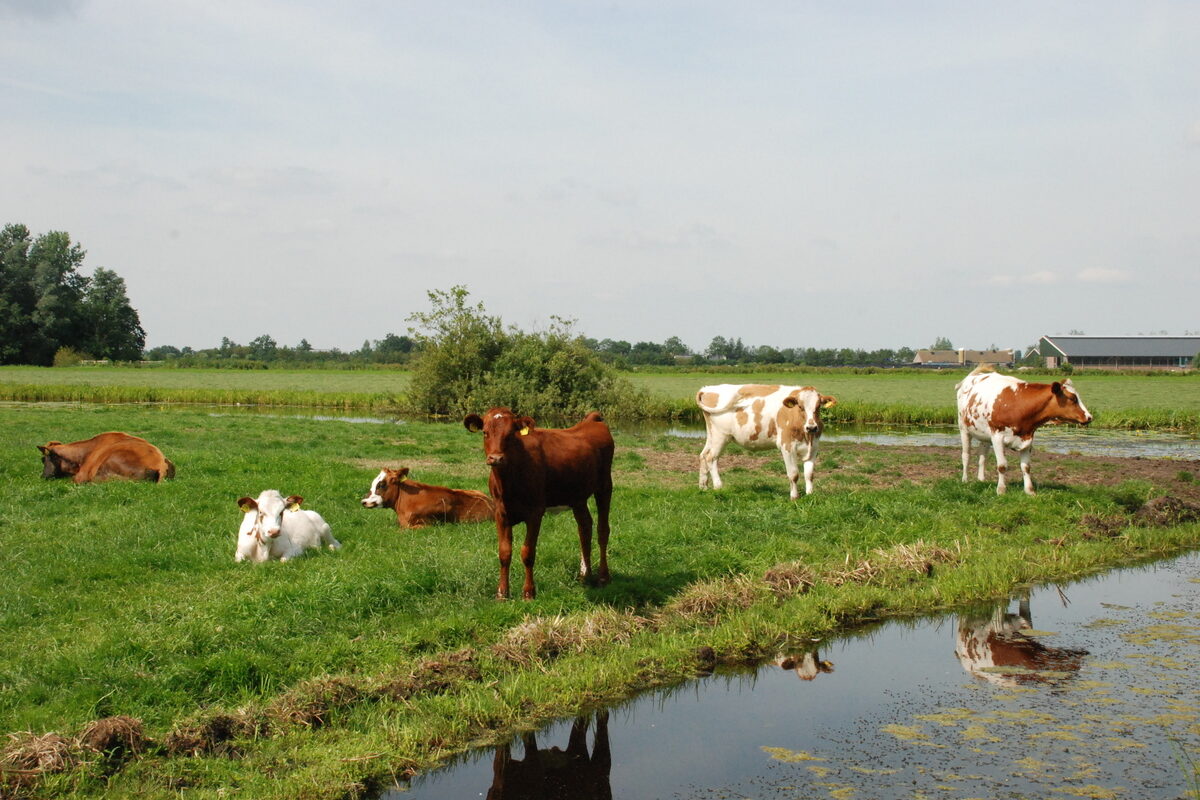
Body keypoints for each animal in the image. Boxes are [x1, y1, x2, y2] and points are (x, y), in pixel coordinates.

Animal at [458, 410, 609, 597]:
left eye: (511, 434)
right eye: (485, 432)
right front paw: (502, 593)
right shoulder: (500, 513)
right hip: (577, 496)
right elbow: (504, 552)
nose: (496, 458)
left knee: (603, 530)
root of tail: (592, 420)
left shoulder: (535, 512)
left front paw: (529, 592)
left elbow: (528, 552)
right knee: (585, 528)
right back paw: (585, 575)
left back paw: (603, 577)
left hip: (604, 486)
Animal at [700, 383, 840, 501]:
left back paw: (703, 487)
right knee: (711, 458)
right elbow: (793, 474)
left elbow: (809, 474)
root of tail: (706, 389)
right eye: (800, 406)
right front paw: (794, 497)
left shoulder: (814, 447)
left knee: (703, 455)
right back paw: (718, 486)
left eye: (818, 406)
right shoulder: (787, 446)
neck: (806, 436)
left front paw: (810, 494)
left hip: (712, 435)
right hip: (720, 436)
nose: (811, 427)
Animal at [960, 367, 1094, 494]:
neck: (1019, 406)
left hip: (985, 436)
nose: (1089, 417)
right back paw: (965, 480)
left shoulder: (1027, 438)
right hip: (964, 430)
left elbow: (1026, 467)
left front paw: (1029, 491)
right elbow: (1002, 466)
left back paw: (981, 479)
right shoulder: (997, 437)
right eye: (1072, 398)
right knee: (966, 455)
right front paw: (1001, 490)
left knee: (982, 456)